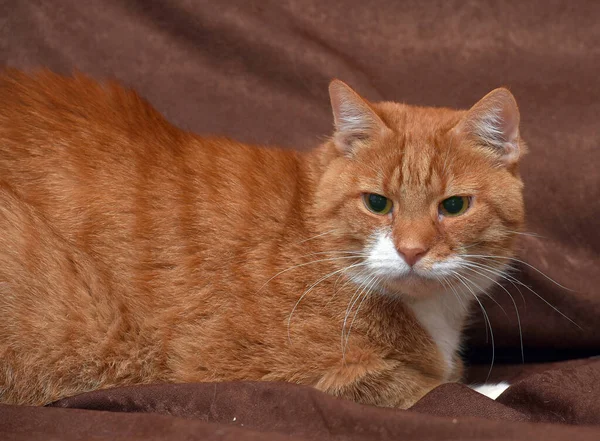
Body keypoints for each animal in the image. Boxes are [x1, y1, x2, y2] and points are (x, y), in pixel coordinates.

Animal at [0, 69, 524, 406]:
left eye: (453, 207)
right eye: (377, 203)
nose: (412, 250)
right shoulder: (276, 374)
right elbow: (433, 385)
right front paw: (494, 391)